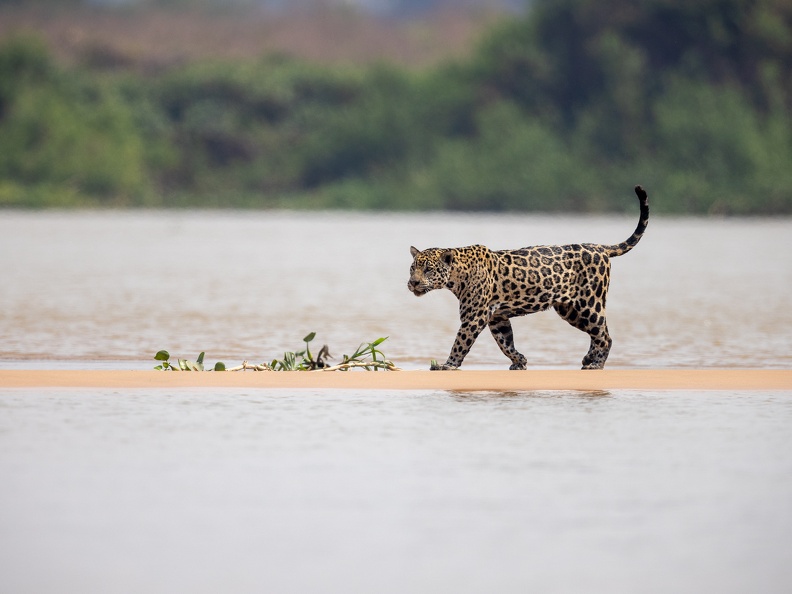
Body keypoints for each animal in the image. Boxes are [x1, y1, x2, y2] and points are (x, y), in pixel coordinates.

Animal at [407, 185, 649, 370]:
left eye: (428, 270)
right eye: (412, 269)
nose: (413, 283)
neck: (457, 275)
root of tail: (599, 247)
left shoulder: (474, 317)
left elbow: (460, 342)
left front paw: (448, 364)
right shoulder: (497, 317)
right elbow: (505, 342)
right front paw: (519, 361)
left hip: (589, 303)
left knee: (605, 335)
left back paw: (596, 364)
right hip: (570, 310)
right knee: (597, 333)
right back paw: (588, 358)